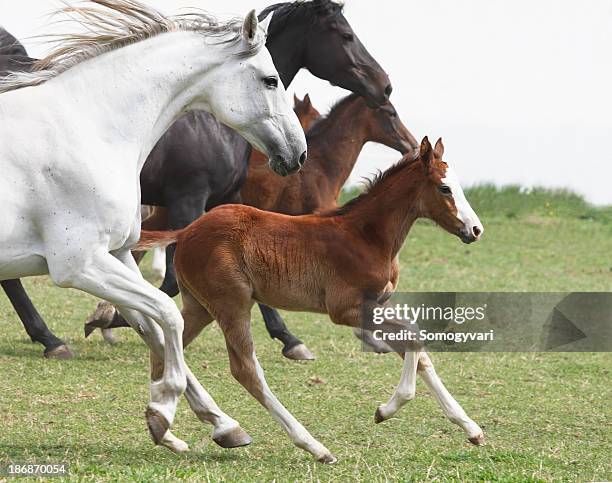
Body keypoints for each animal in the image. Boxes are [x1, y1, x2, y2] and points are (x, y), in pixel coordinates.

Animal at [0, 0, 306, 454]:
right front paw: (162, 410)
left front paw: (221, 425)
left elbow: (153, 327)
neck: (88, 130)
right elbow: (168, 314)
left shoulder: (118, 255)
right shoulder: (79, 265)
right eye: (271, 80)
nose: (299, 153)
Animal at [4, 0, 392, 360]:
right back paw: (51, 339)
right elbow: (170, 283)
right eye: (345, 35)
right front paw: (107, 319)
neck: (89, 126)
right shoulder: (182, 204)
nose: (385, 87)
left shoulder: (218, 203)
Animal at [136, 137, 486, 466]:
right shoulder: (346, 309)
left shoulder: (378, 304)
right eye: (444, 188)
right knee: (245, 369)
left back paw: (163, 427)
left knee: (164, 344)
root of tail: (187, 231)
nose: (475, 229)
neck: (366, 235)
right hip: (231, 303)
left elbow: (418, 350)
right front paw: (387, 410)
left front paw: (471, 428)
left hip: (200, 306)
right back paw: (313, 446)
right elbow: (414, 336)